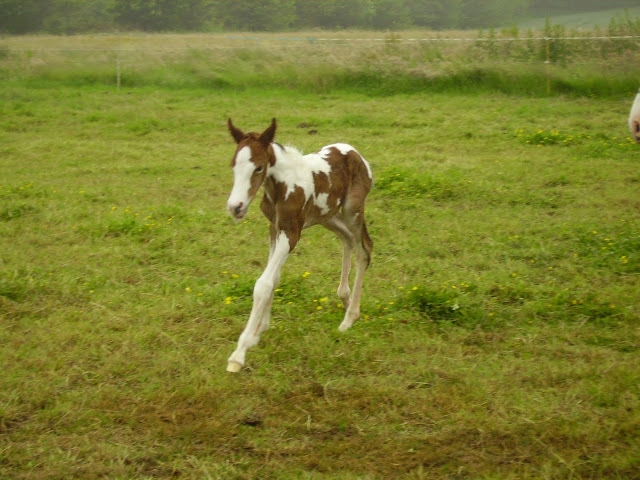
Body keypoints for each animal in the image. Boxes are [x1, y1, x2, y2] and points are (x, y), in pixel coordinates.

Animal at [225, 118, 376, 374]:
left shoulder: (292, 232)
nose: (236, 207)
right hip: (327, 216)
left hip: (352, 210)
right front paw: (259, 332)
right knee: (347, 239)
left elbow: (264, 283)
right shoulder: (274, 227)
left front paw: (239, 353)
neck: (281, 186)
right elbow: (274, 277)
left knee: (364, 248)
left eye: (258, 168)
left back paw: (349, 318)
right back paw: (344, 298)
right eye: (233, 165)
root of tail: (356, 153)